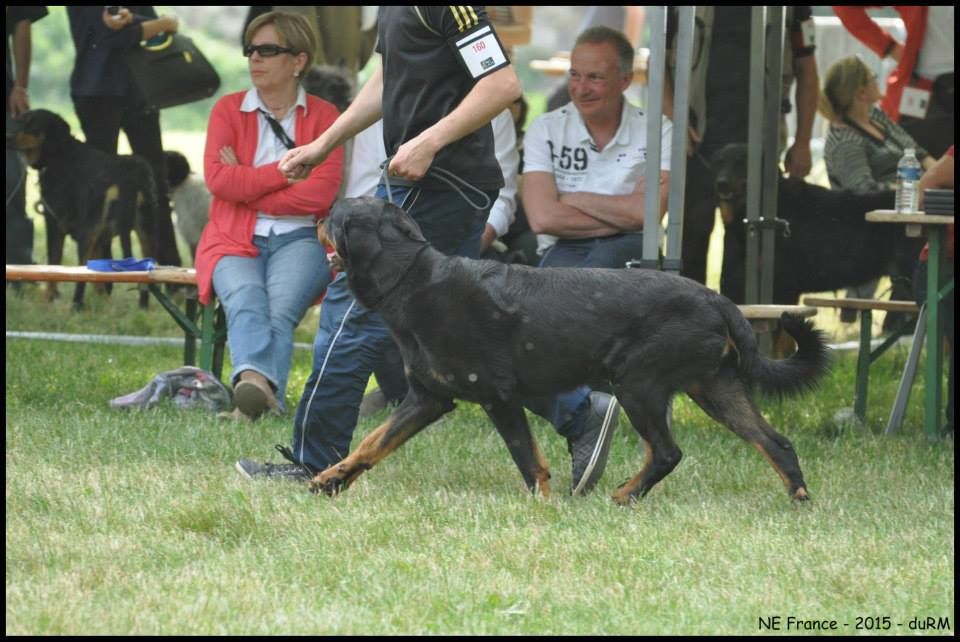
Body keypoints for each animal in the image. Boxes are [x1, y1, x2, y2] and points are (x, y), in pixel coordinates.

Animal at [6, 108, 157, 308]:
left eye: (31, 123)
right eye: (19, 119)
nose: (7, 137)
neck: (60, 153)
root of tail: (127, 174)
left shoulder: (55, 223)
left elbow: (54, 262)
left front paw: (48, 299)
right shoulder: (99, 237)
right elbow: (98, 277)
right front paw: (104, 301)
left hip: (88, 229)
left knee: (81, 271)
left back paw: (75, 305)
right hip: (146, 229)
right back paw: (142, 307)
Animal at [312, 198, 828, 502]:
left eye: (335, 218)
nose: (315, 215)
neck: (411, 280)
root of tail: (714, 297)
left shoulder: (497, 395)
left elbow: (527, 459)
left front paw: (542, 504)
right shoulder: (428, 398)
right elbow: (372, 443)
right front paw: (328, 480)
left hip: (639, 384)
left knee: (666, 452)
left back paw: (624, 496)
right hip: (714, 386)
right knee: (774, 442)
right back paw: (798, 498)